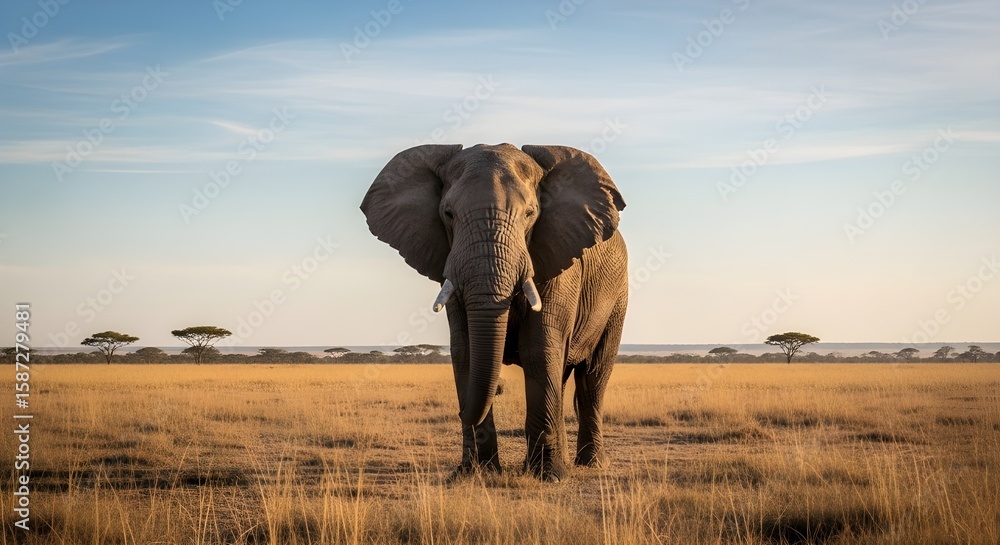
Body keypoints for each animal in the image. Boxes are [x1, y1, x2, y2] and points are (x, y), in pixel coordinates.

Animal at [361, 143, 628, 482]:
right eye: (448, 214)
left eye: (530, 214)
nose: (497, 389)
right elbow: (465, 352)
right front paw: (477, 475)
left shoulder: (557, 258)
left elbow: (540, 349)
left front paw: (549, 477)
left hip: (617, 297)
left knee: (593, 377)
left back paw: (589, 464)